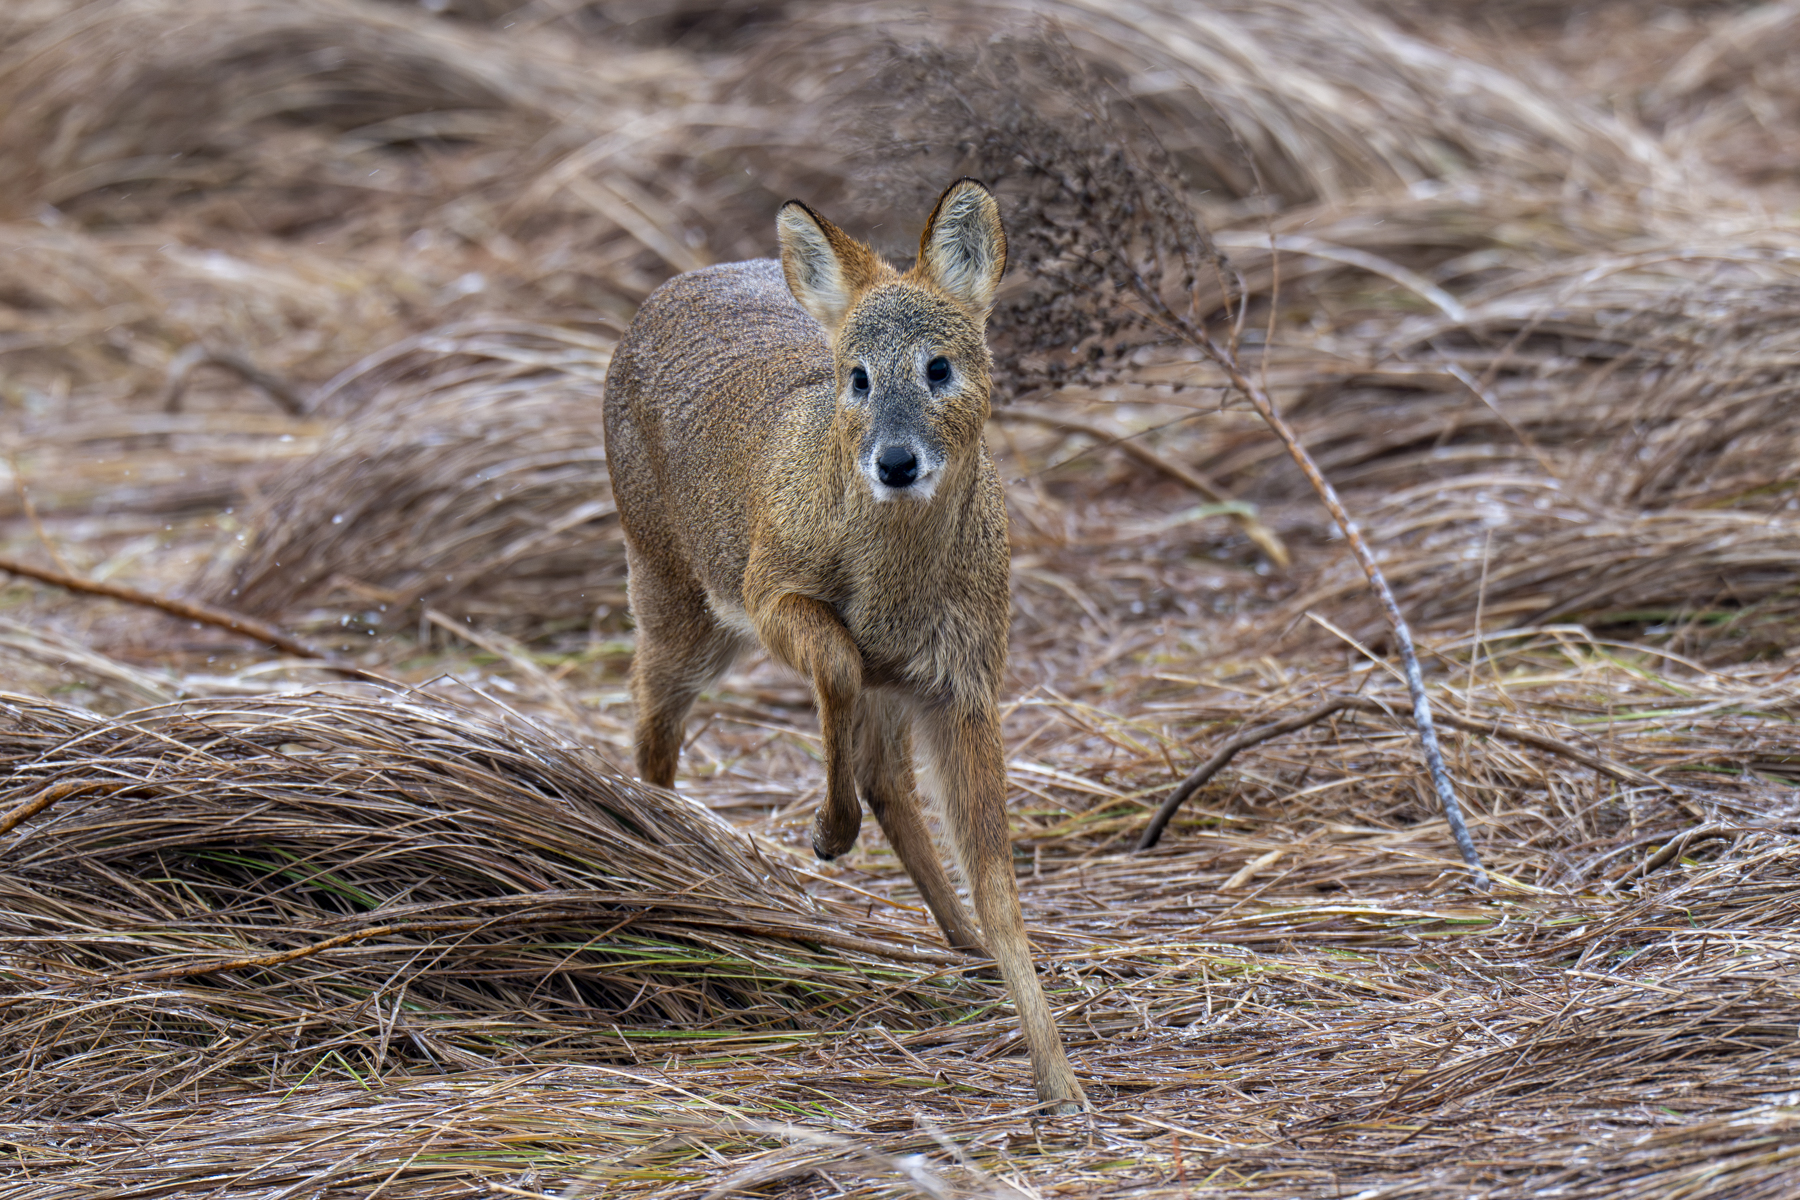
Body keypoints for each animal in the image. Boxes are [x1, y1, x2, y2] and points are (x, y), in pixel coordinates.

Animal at [602, 179, 1086, 1112]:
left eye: (940, 366)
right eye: (856, 377)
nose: (895, 462)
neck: (895, 591)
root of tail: (661, 294)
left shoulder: (965, 680)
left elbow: (999, 880)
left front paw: (1060, 1079)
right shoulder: (770, 590)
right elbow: (834, 660)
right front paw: (826, 833)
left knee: (887, 776)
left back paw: (960, 943)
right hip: (673, 591)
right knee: (651, 728)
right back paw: (675, 856)